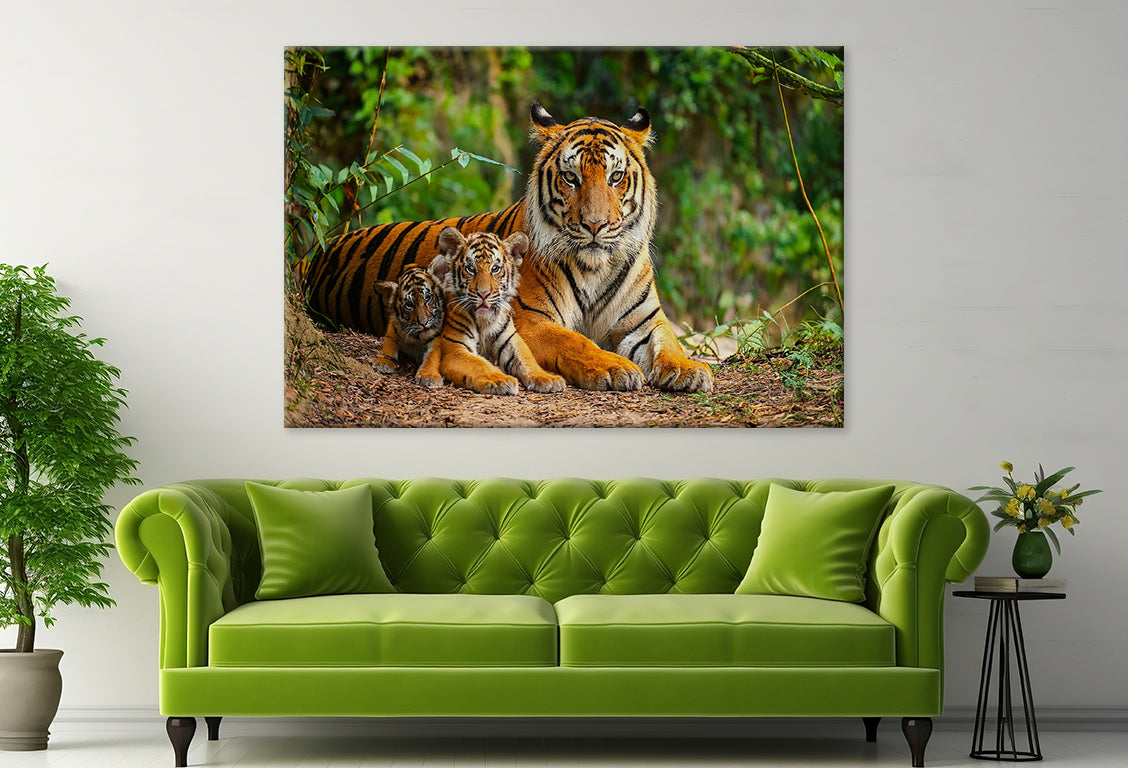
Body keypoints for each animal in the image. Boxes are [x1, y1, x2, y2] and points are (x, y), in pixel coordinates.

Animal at [430, 226, 565, 395]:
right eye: (470, 269)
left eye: (495, 268)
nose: (483, 294)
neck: (484, 322)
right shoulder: (455, 350)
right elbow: (480, 364)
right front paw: (500, 380)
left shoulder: (510, 339)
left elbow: (527, 359)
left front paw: (548, 379)